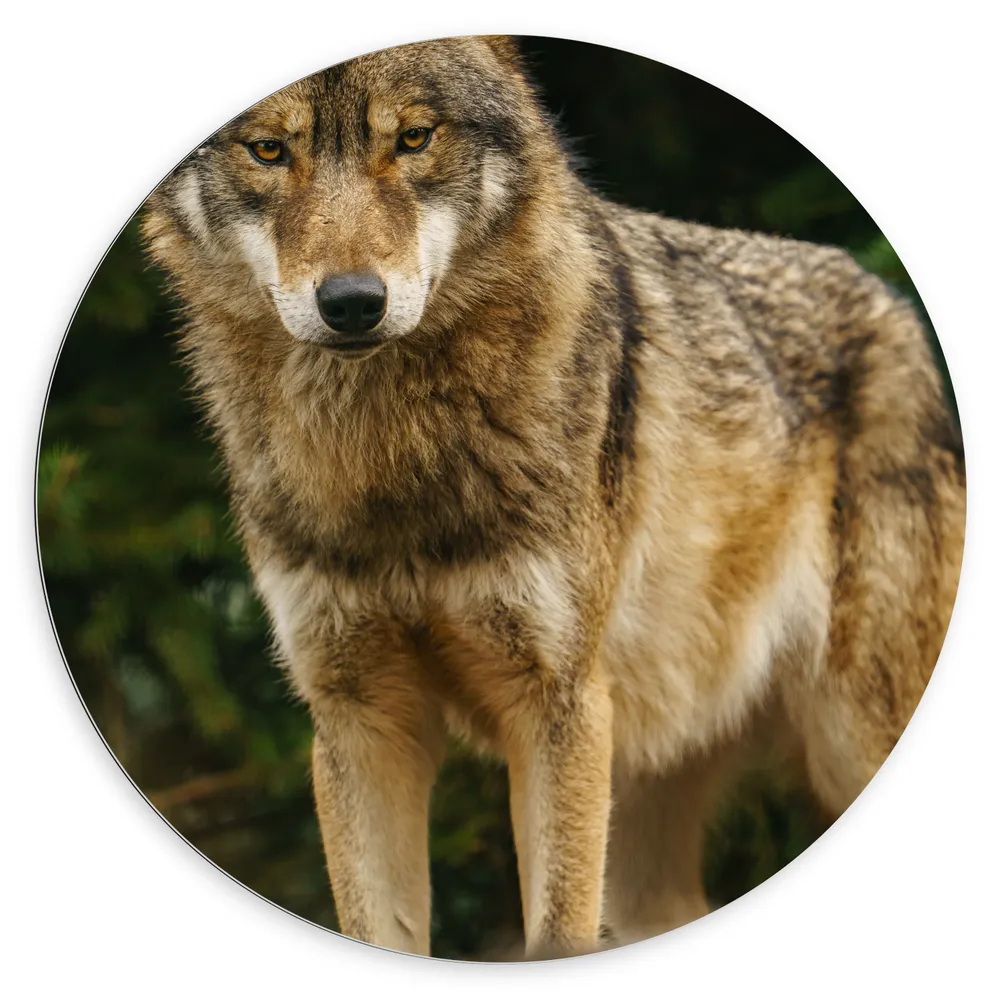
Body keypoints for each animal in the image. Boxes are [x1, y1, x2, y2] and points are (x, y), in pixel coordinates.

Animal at [141, 35, 966, 959]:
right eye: (270, 151)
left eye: (414, 139)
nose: (352, 304)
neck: (393, 465)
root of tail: (895, 308)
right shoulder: (360, 718)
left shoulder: (554, 706)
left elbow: (557, 928)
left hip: (845, 740)